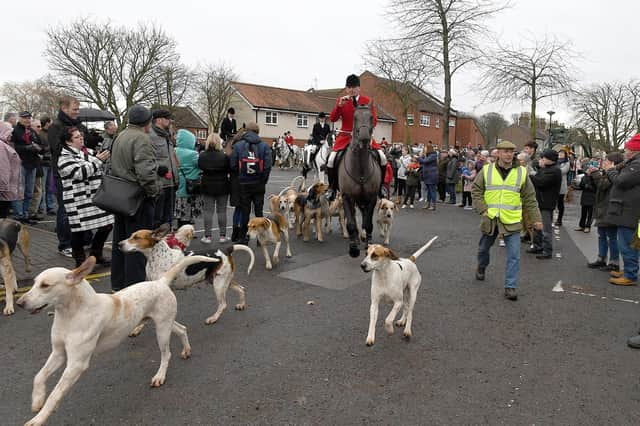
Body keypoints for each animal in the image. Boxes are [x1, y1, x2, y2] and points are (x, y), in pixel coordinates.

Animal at [340, 101, 380, 258]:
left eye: (371, 117)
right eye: (355, 117)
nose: (364, 138)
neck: (361, 168)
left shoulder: (372, 197)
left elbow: (368, 223)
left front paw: (368, 244)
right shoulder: (346, 197)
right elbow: (351, 224)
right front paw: (353, 248)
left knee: (364, 217)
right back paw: (356, 238)